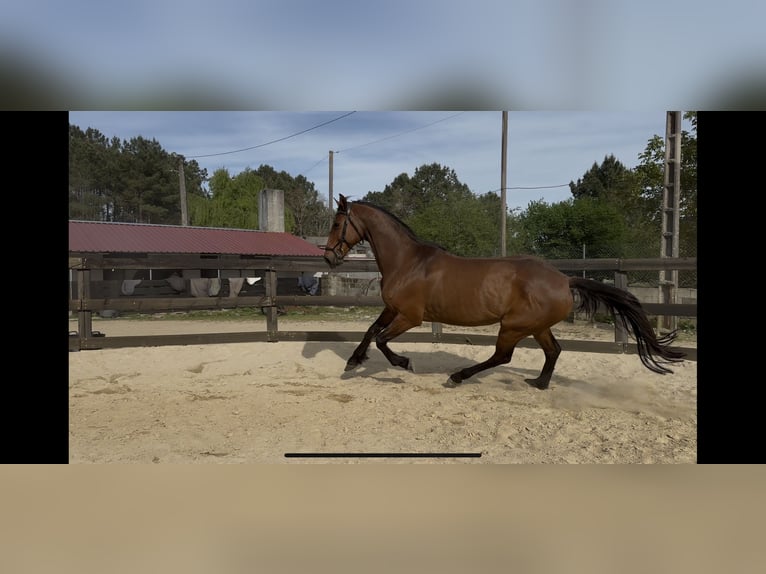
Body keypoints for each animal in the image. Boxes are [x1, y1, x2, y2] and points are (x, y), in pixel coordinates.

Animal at [322, 194, 685, 389]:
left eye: (337, 224)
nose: (329, 257)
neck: (408, 262)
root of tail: (564, 280)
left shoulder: (410, 316)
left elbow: (383, 340)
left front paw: (404, 363)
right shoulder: (392, 309)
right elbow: (371, 331)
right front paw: (353, 362)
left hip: (513, 326)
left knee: (503, 356)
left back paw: (458, 377)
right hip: (536, 326)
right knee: (553, 351)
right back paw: (539, 383)